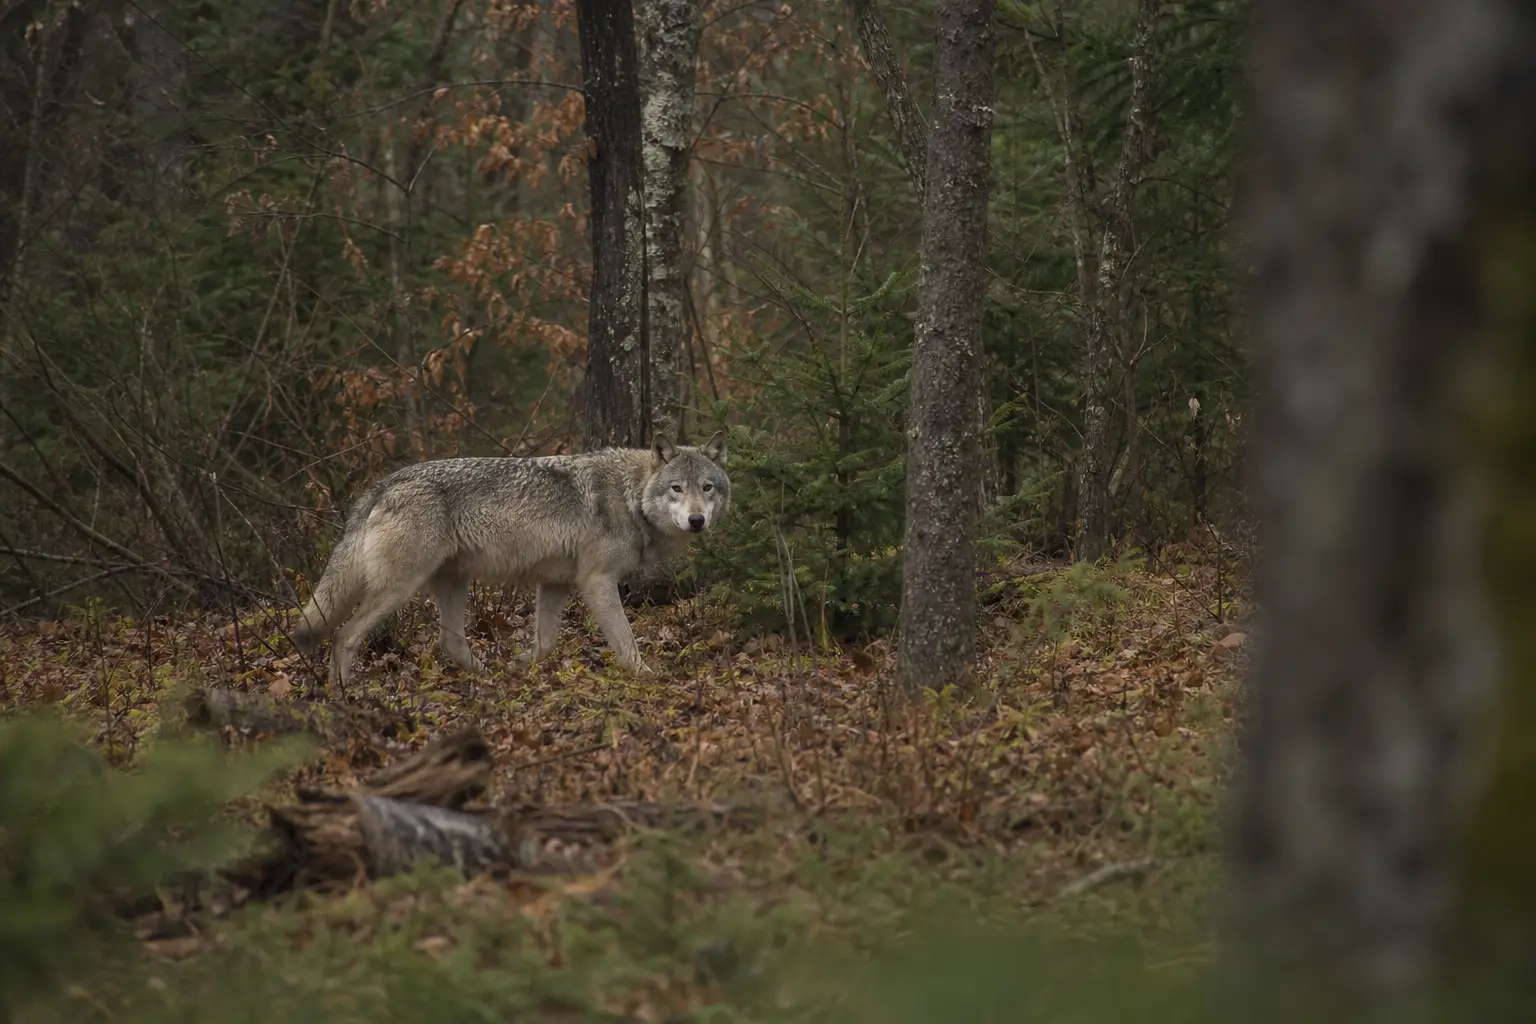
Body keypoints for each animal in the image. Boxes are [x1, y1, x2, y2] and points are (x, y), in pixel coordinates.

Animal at [292, 432, 730, 685]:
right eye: (676, 488)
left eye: (707, 487)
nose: (697, 520)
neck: (630, 495)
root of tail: (383, 484)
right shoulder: (597, 581)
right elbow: (625, 642)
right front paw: (647, 678)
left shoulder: (555, 583)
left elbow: (546, 642)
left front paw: (520, 667)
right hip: (401, 588)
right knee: (345, 636)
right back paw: (344, 697)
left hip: (452, 584)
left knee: (449, 642)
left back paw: (490, 678)